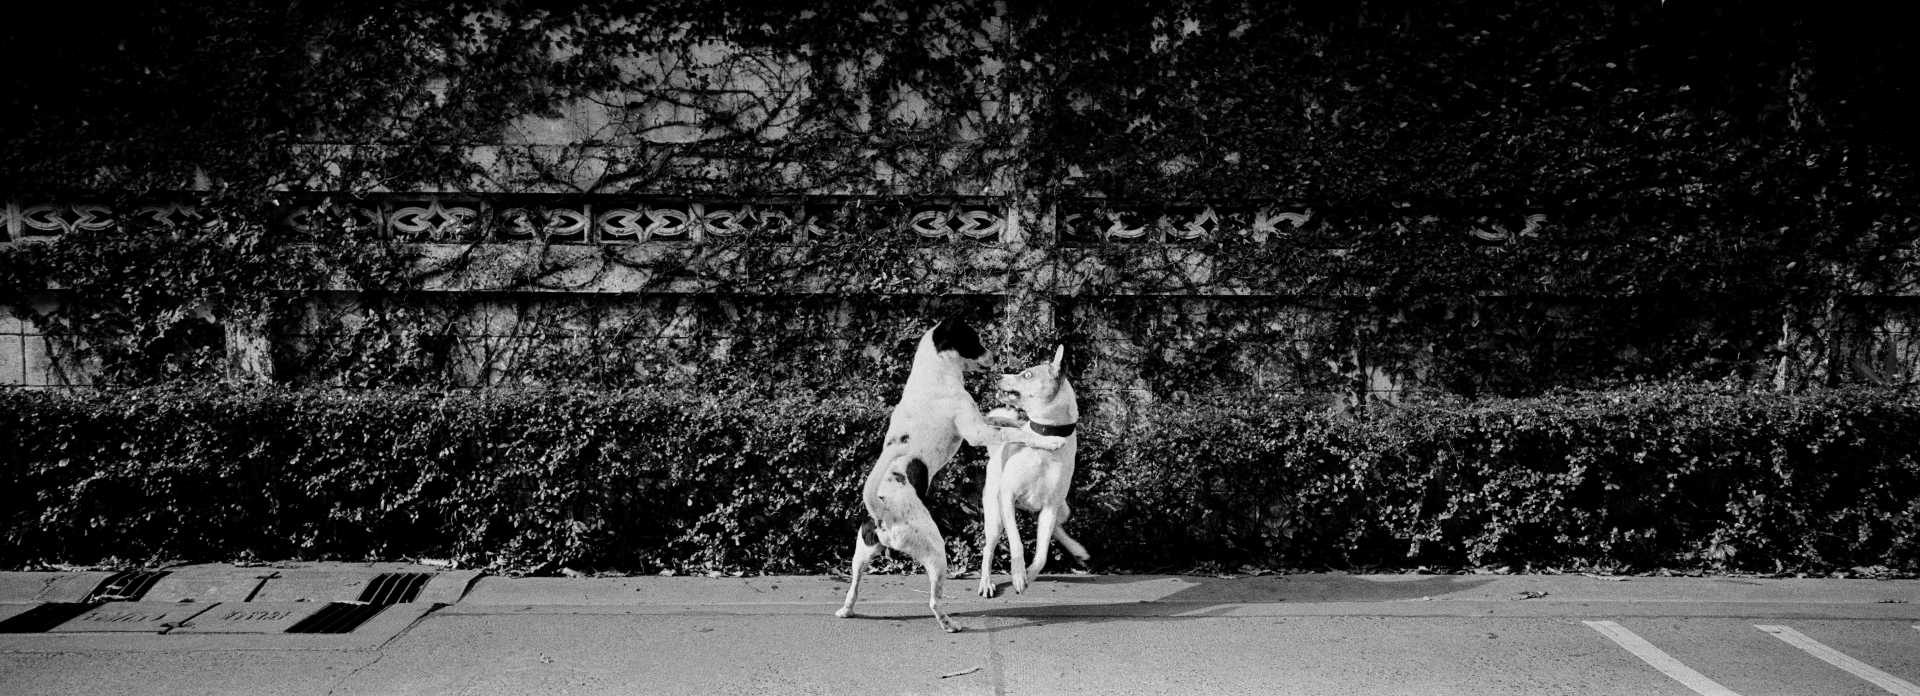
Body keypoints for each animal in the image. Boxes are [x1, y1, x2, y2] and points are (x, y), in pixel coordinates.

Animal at [829, 317, 1067, 634]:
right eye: (975, 340)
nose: (995, 359)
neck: (934, 374)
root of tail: (882, 513)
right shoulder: (976, 432)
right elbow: (1017, 433)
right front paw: (1049, 441)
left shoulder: (980, 422)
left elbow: (1003, 421)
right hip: (935, 553)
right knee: (933, 601)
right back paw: (948, 623)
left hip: (862, 554)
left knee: (853, 586)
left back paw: (847, 610)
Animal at [967, 346, 1090, 596]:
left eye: (1027, 375)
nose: (997, 375)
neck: (1046, 434)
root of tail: (996, 451)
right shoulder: (1007, 497)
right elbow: (1016, 542)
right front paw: (1018, 572)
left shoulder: (1050, 508)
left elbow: (1042, 556)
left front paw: (1028, 575)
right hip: (995, 517)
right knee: (988, 549)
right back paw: (986, 582)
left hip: (1062, 509)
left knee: (1057, 529)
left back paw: (1077, 550)